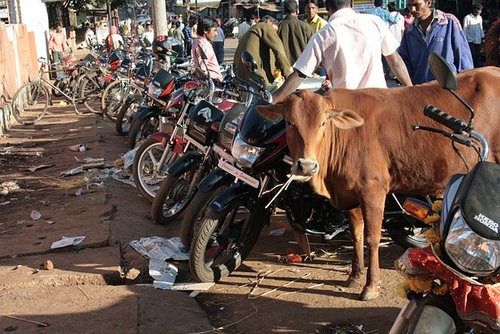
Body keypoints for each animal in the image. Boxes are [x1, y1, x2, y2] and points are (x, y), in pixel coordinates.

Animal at [256, 67, 500, 300]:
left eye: (323, 122)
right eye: (289, 122)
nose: (306, 166)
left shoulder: (373, 190)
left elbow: (372, 238)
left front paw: (371, 285)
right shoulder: (352, 194)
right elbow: (356, 235)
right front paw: (355, 276)